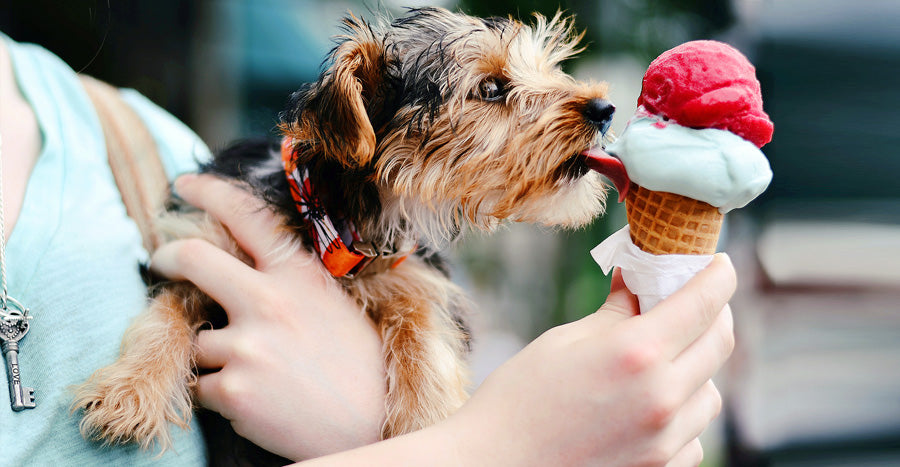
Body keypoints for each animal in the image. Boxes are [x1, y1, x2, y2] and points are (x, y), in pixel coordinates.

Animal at [74, 4, 616, 458]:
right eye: (491, 88)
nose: (605, 110)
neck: (330, 219)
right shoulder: (200, 241)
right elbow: (168, 310)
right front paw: (130, 391)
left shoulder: (413, 275)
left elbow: (424, 331)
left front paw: (426, 421)